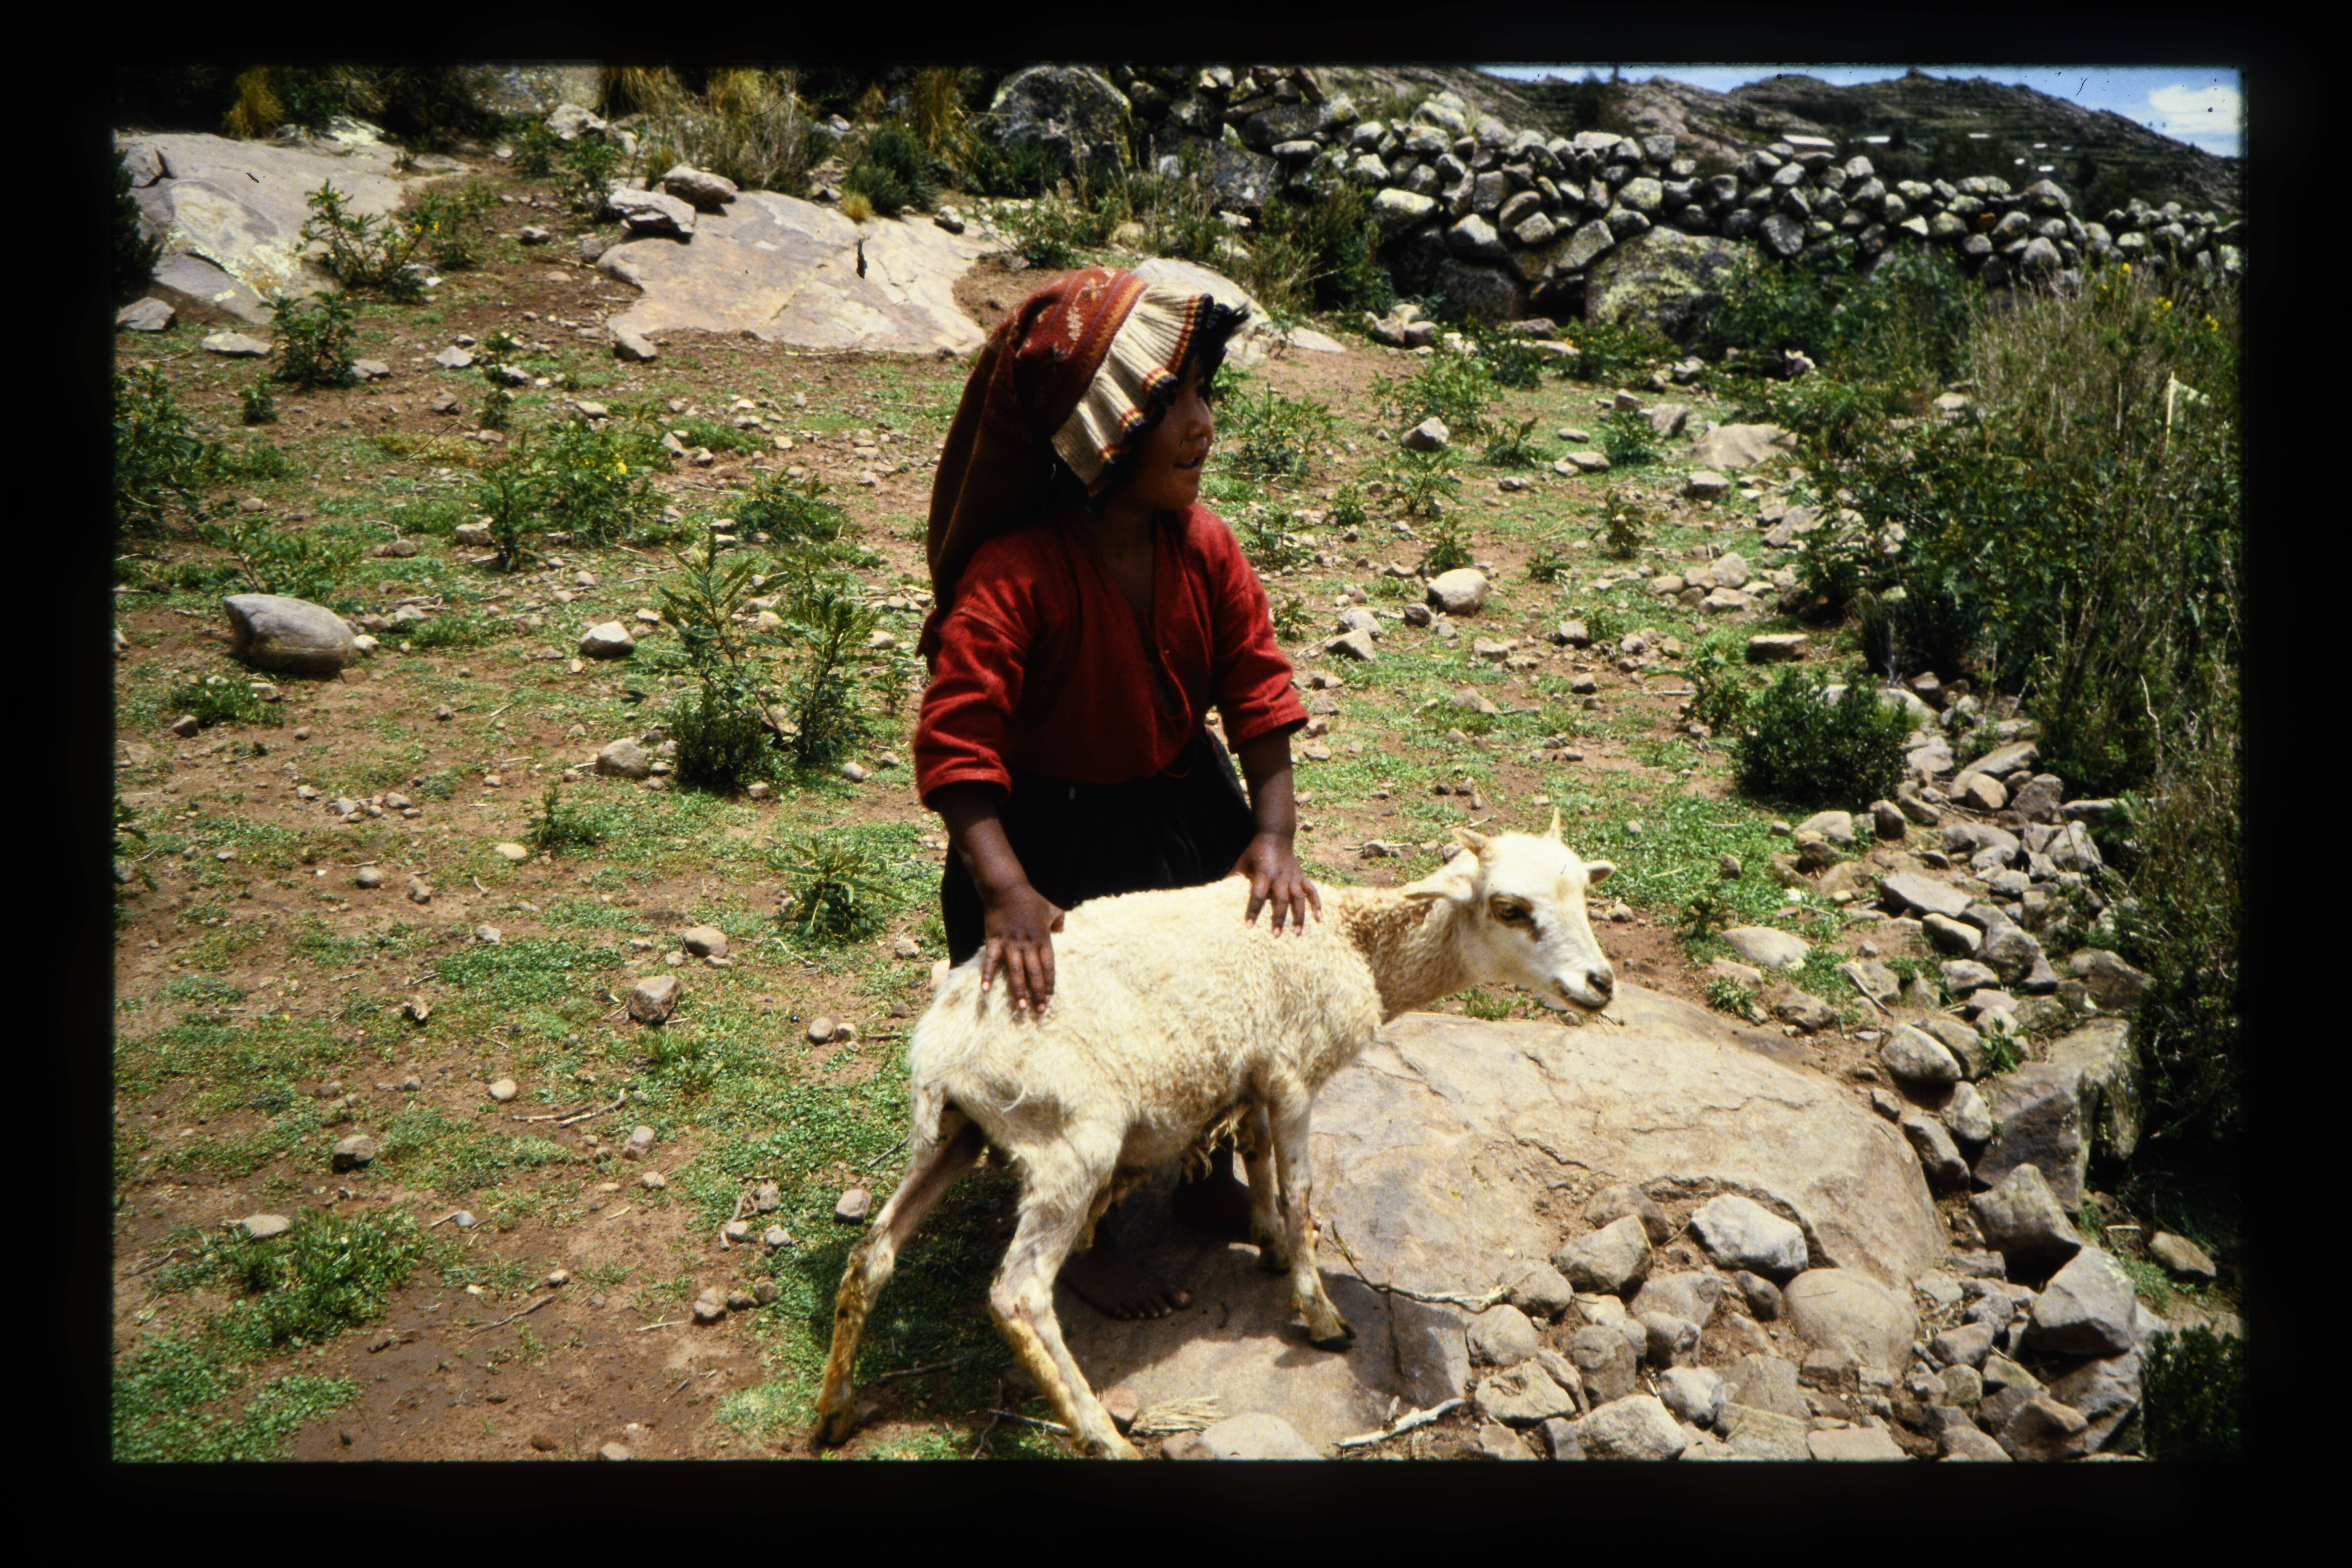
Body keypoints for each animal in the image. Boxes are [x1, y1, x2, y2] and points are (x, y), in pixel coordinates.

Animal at [812, 815, 1617, 1458]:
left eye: (1584, 894)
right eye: (1510, 909)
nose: (1601, 982)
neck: (1356, 944)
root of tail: (941, 1048)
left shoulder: (1254, 1069)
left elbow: (1256, 1153)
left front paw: (1265, 1239)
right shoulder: (1294, 1072)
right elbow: (1301, 1188)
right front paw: (1317, 1309)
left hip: (960, 1134)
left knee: (871, 1253)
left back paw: (833, 1412)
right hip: (1069, 1139)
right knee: (1018, 1295)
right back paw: (1100, 1432)